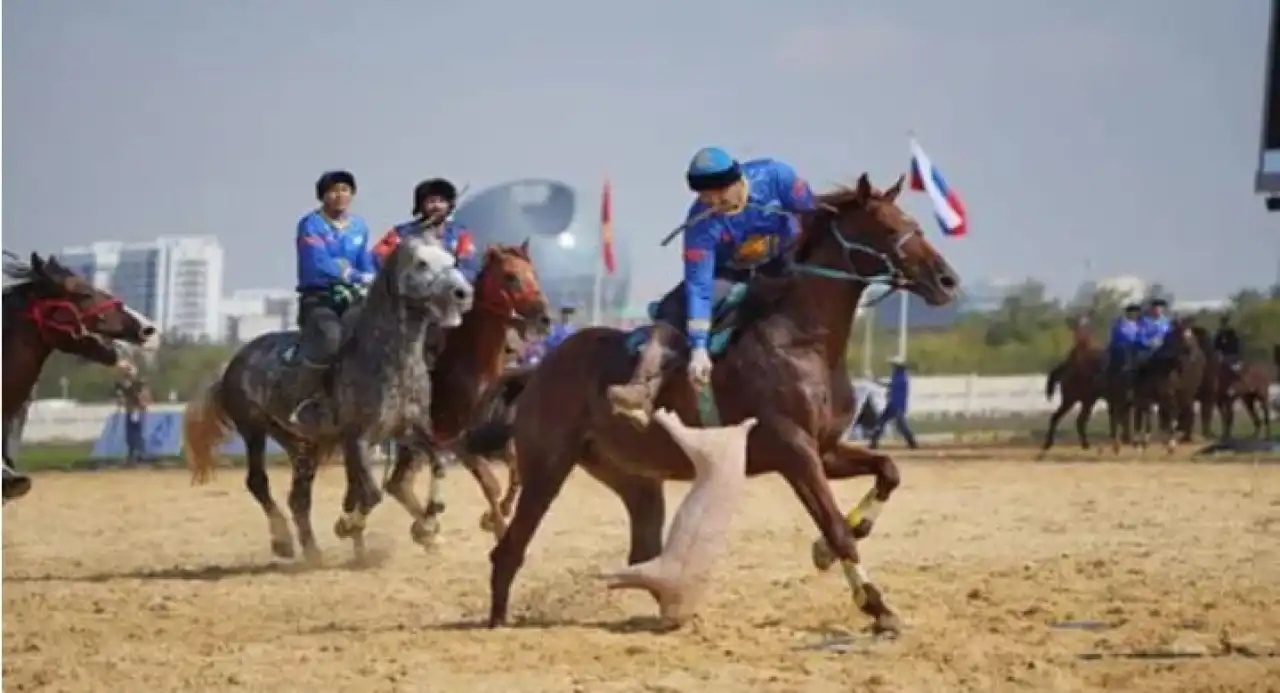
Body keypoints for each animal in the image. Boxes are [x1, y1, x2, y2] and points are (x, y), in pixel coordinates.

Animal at [181, 235, 476, 563]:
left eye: (451, 259)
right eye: (421, 263)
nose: (463, 293)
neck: (389, 360)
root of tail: (233, 364)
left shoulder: (409, 430)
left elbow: (438, 464)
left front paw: (428, 526)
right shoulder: (357, 438)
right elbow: (371, 494)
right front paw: (347, 526)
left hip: (301, 445)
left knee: (298, 498)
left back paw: (313, 551)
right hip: (252, 428)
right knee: (258, 482)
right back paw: (283, 541)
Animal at [373, 240, 545, 548]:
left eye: (533, 274)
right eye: (510, 276)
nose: (543, 316)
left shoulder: (492, 437)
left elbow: (517, 471)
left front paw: (495, 516)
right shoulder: (454, 440)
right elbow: (491, 483)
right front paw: (498, 528)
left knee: (398, 483)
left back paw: (426, 530)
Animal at [460, 172, 962, 632]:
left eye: (915, 223)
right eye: (887, 227)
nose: (948, 279)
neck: (802, 339)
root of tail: (538, 369)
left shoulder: (826, 448)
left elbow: (888, 471)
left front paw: (843, 544)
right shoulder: (793, 450)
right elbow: (836, 528)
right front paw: (876, 605)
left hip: (634, 478)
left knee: (643, 549)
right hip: (548, 466)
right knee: (509, 548)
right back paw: (498, 619)